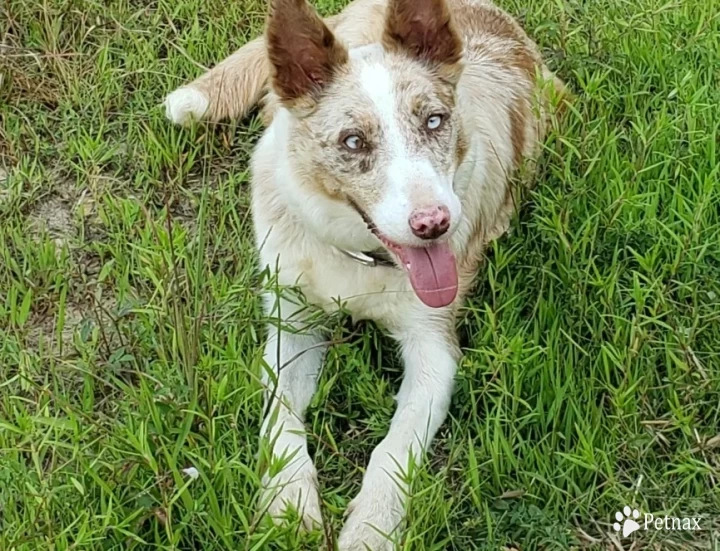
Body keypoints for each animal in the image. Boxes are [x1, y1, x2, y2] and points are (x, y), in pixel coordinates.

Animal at [166, 1, 564, 548]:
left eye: (435, 121)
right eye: (353, 142)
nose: (434, 223)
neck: (359, 256)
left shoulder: (433, 348)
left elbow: (395, 448)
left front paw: (373, 526)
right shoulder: (290, 326)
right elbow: (280, 419)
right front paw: (287, 504)